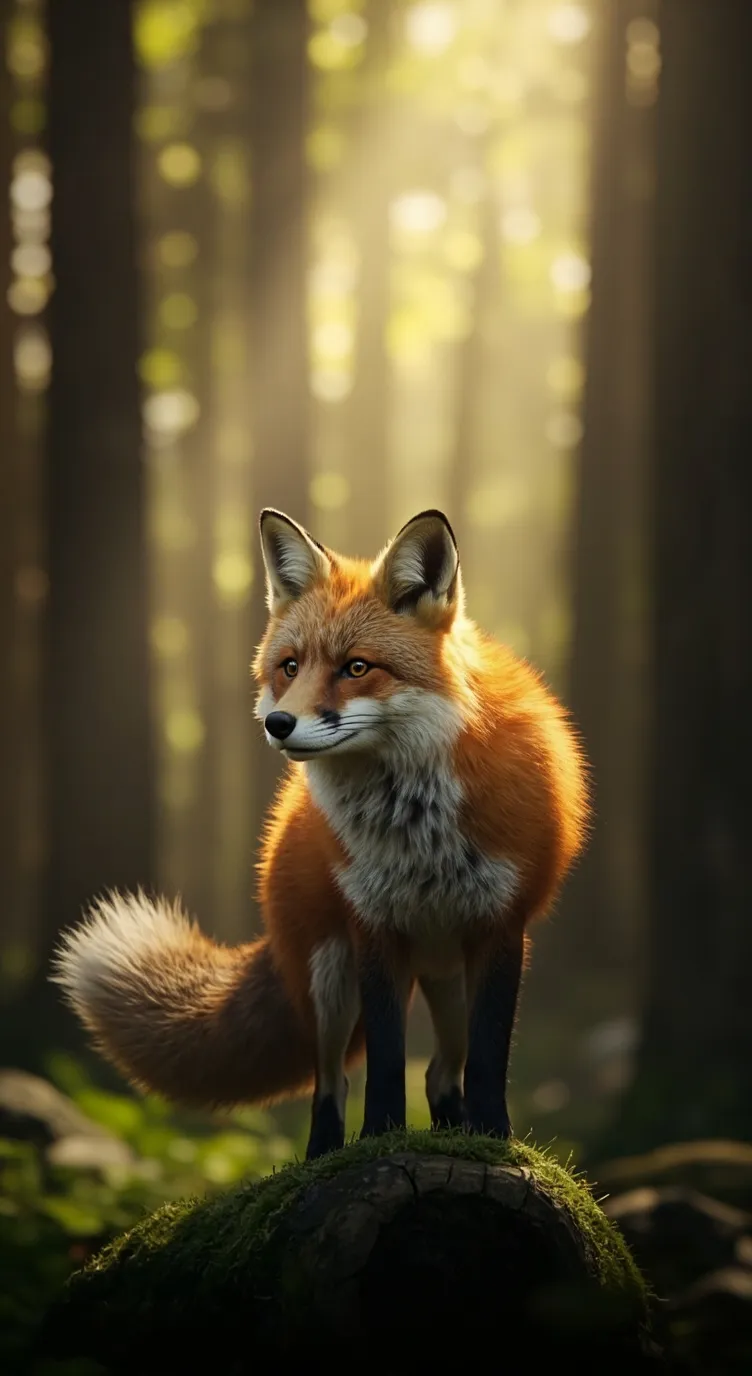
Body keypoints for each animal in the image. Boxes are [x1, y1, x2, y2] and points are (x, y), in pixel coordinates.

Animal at [52, 508, 589, 1159]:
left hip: (447, 975)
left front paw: (494, 1140)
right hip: (329, 976)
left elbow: (488, 1062)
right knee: (330, 1081)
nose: (278, 723)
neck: (417, 824)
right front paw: (380, 1138)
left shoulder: (501, 929)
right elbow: (384, 1063)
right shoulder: (373, 927)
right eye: (290, 666)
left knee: (442, 1071)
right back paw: (326, 1155)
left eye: (357, 667)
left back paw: (452, 1133)